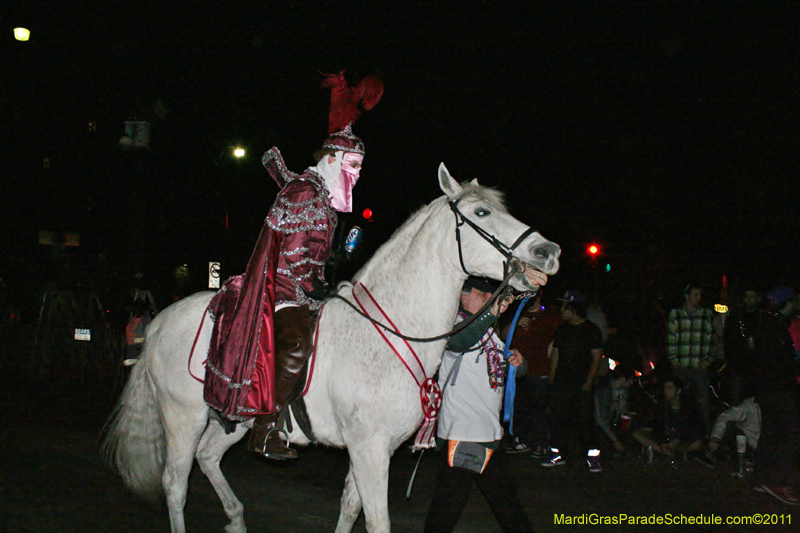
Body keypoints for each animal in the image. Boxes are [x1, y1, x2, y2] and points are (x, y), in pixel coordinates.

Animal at [101, 163, 564, 532]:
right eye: (482, 213)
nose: (549, 251)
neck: (392, 330)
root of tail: (161, 322)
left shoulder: (374, 449)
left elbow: (350, 509)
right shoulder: (369, 448)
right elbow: (376, 521)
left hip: (231, 419)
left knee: (209, 457)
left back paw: (235, 518)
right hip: (183, 416)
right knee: (175, 485)